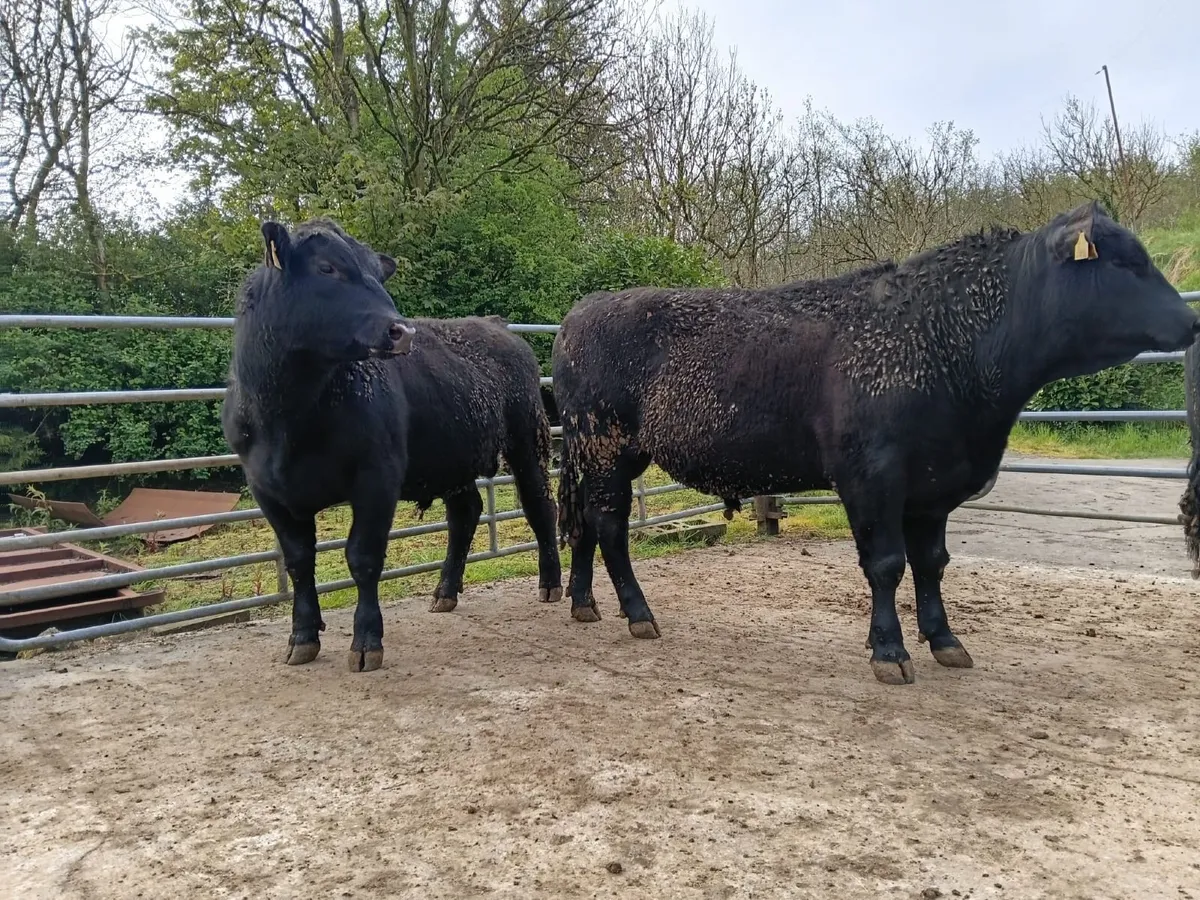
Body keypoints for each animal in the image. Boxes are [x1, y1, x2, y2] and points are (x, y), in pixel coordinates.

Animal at [222, 218, 562, 673]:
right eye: (327, 267)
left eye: (377, 274)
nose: (402, 331)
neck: (287, 418)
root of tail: (494, 324)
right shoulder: (266, 489)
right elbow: (298, 561)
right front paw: (302, 637)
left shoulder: (376, 476)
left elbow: (363, 558)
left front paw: (366, 642)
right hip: (451, 456)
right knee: (465, 513)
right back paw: (444, 592)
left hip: (527, 437)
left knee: (540, 504)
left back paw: (550, 583)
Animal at [551, 201, 1200, 686]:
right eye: (1127, 262)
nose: (1193, 321)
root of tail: (581, 312)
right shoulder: (871, 477)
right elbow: (886, 563)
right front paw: (890, 651)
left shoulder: (934, 486)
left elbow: (932, 563)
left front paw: (945, 639)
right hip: (604, 444)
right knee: (609, 524)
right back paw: (638, 614)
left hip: (598, 452)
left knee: (584, 522)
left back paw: (584, 603)